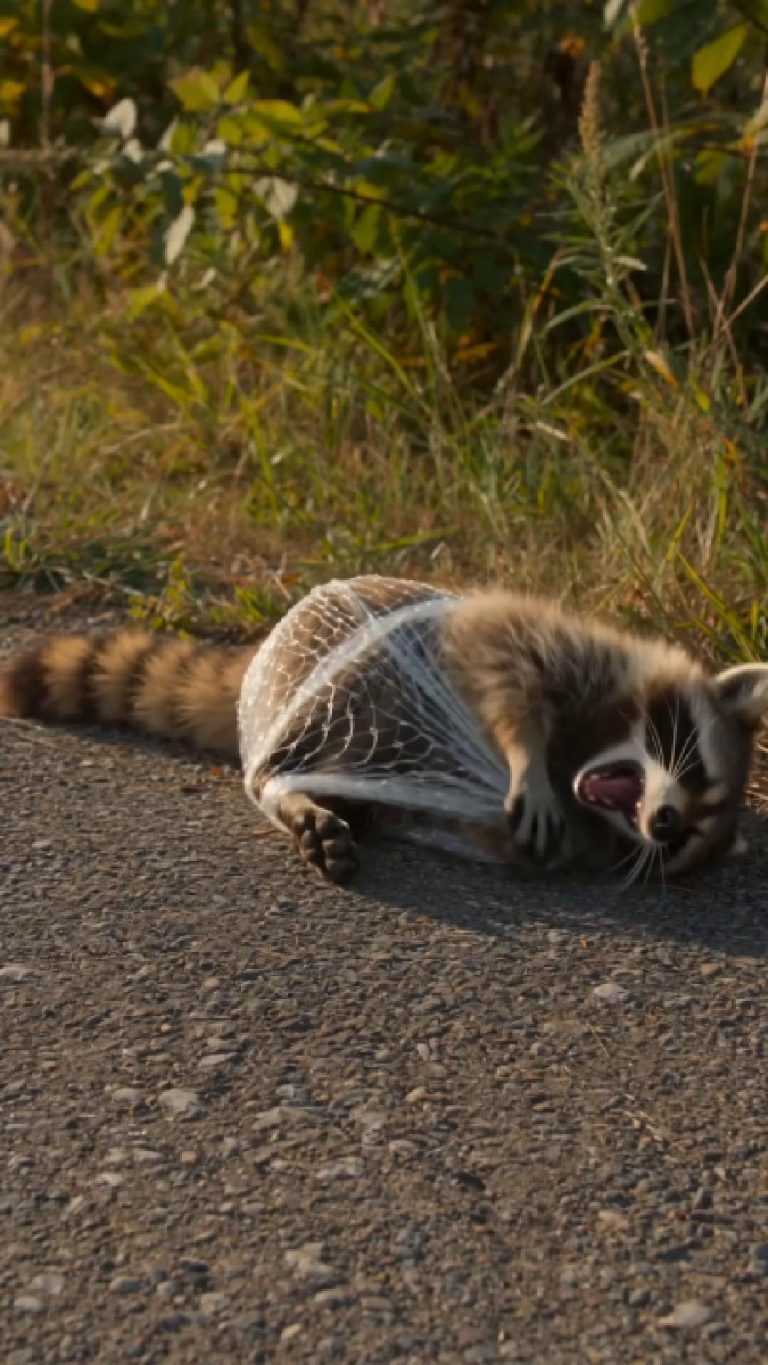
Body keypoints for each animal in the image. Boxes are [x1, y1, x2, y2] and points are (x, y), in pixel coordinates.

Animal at [1, 575, 766, 886]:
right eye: (695, 768)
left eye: (690, 836)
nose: (663, 824)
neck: (586, 748)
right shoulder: (558, 648)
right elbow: (504, 669)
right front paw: (524, 752)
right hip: (335, 684)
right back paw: (290, 792)